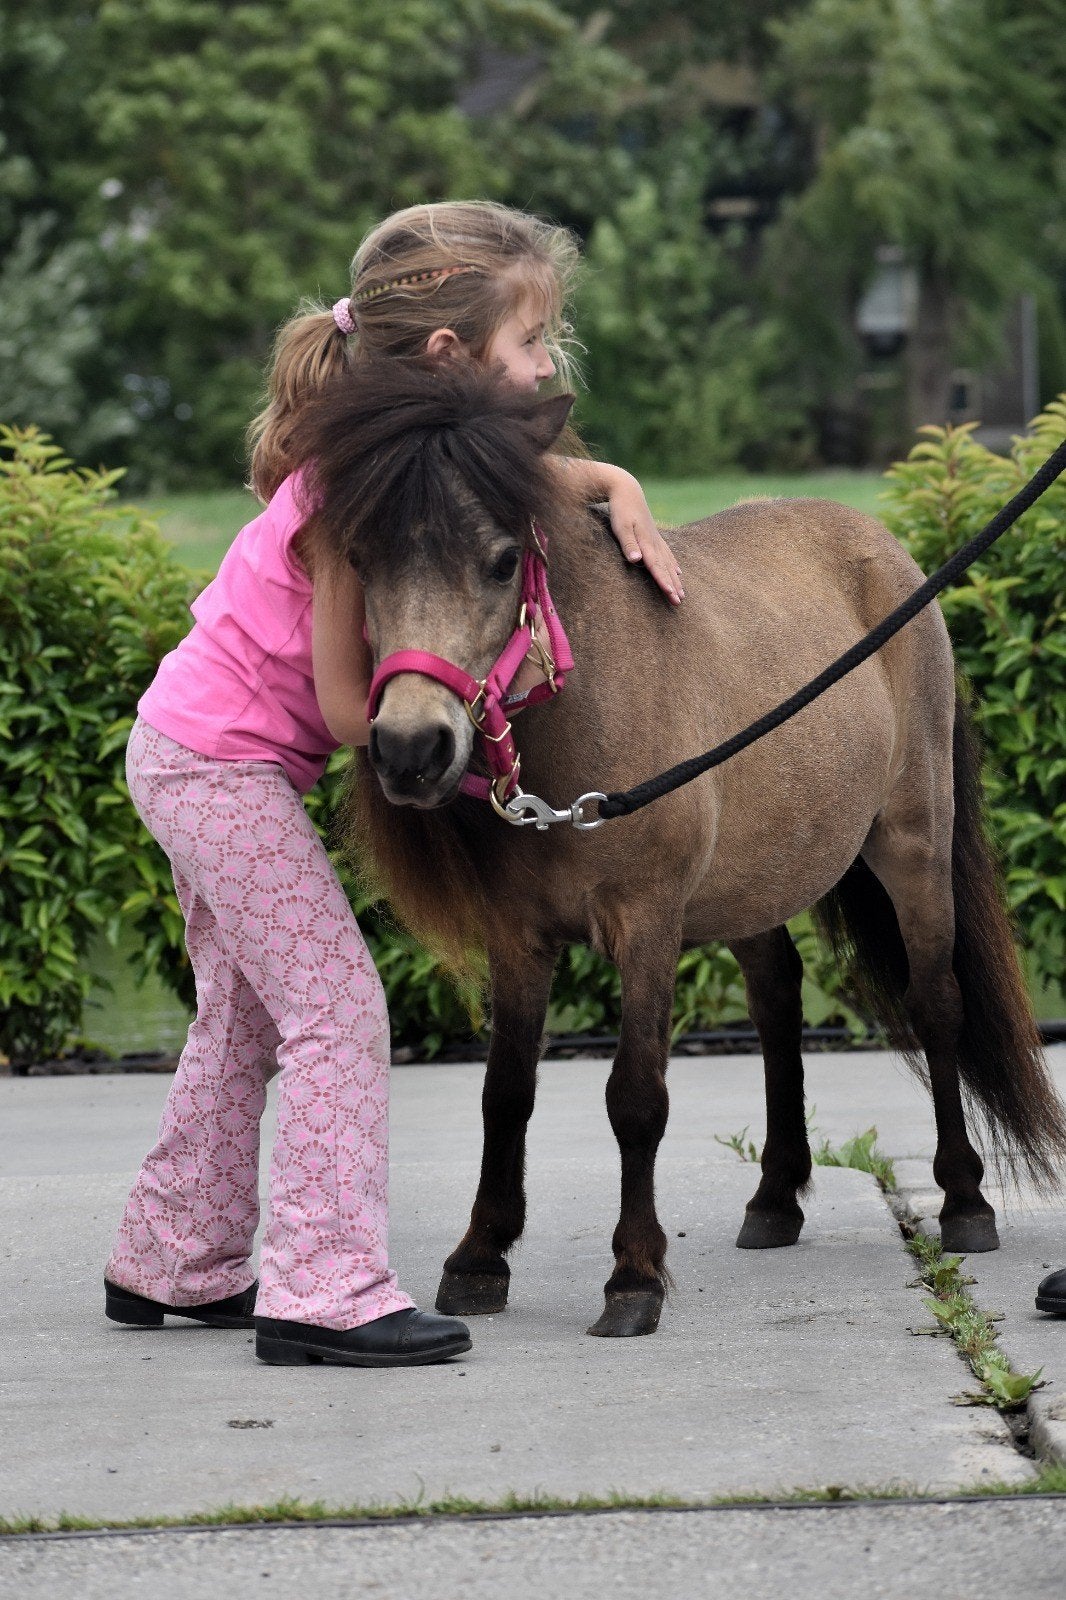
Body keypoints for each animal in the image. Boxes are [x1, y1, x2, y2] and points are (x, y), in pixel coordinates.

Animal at [291, 361, 1066, 1338]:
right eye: (363, 560)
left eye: (502, 561)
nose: (411, 748)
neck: (586, 718)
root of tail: (887, 557)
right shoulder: (519, 938)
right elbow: (506, 1092)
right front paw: (478, 1256)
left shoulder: (649, 925)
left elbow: (636, 1096)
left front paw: (633, 1276)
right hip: (755, 884)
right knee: (777, 1005)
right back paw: (774, 1198)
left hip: (914, 850)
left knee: (936, 1005)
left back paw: (964, 1200)